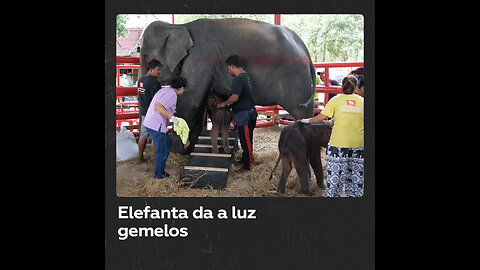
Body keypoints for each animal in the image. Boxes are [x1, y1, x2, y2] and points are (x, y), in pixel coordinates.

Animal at [138, 17, 316, 153]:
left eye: (145, 56)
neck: (180, 26)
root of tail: (304, 47)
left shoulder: (200, 58)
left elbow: (190, 99)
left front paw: (175, 151)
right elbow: (200, 104)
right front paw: (188, 149)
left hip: (297, 78)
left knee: (301, 113)